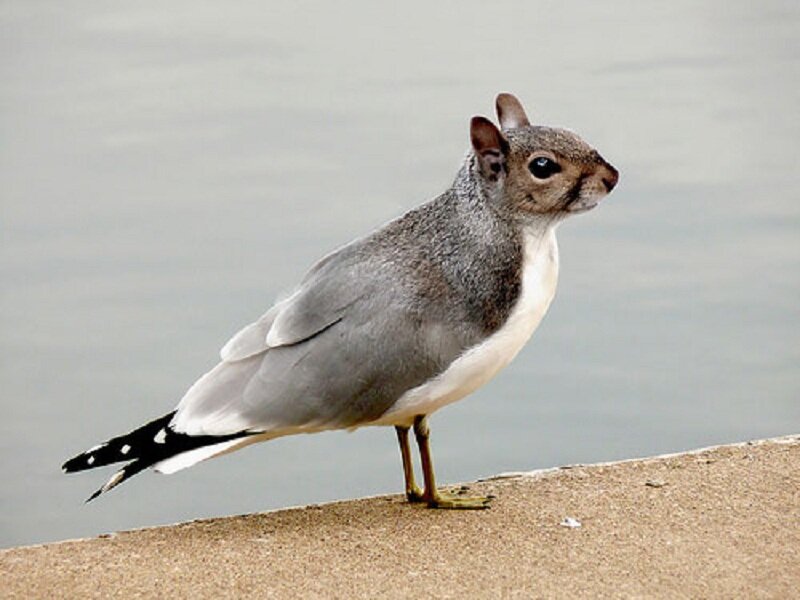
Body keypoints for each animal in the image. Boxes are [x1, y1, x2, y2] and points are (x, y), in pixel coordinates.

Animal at [63, 93, 619, 509]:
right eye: (544, 167)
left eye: (583, 141)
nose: (612, 177)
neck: (510, 233)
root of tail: (184, 415)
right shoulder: (424, 397)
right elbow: (421, 434)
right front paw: (439, 499)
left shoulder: (397, 408)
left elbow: (399, 434)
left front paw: (413, 494)